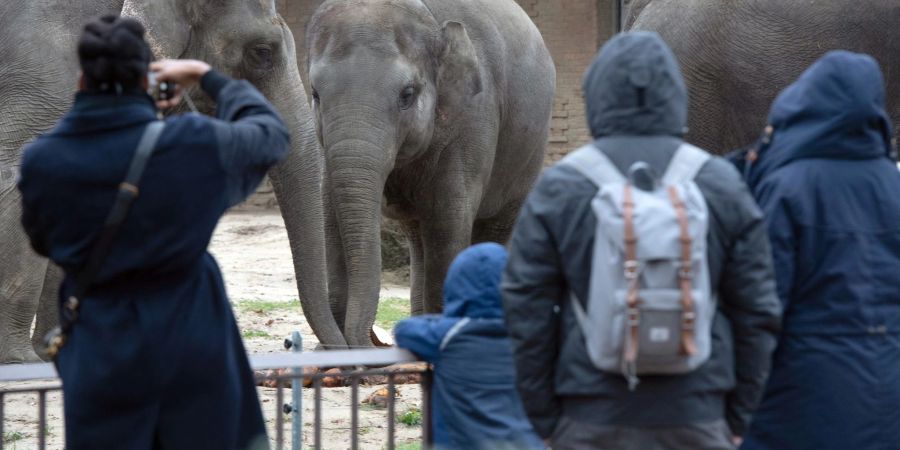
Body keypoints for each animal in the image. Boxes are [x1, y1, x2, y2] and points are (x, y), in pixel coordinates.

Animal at [306, 0, 556, 348]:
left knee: (493, 230)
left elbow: (446, 219)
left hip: (528, 153)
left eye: (407, 94)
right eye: (315, 94)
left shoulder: (473, 120)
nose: (374, 341)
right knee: (417, 236)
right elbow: (330, 215)